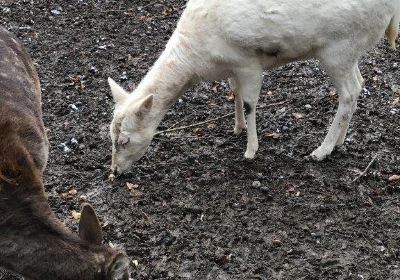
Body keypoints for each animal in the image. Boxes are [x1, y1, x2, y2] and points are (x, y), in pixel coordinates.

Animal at [108, 0, 398, 175]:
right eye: (111, 137)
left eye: (125, 140)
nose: (114, 171)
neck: (198, 61)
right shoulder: (234, 68)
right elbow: (234, 91)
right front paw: (237, 128)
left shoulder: (248, 62)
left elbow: (250, 102)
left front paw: (250, 150)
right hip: (349, 52)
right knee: (359, 84)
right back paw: (338, 142)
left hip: (337, 48)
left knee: (348, 92)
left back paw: (321, 150)